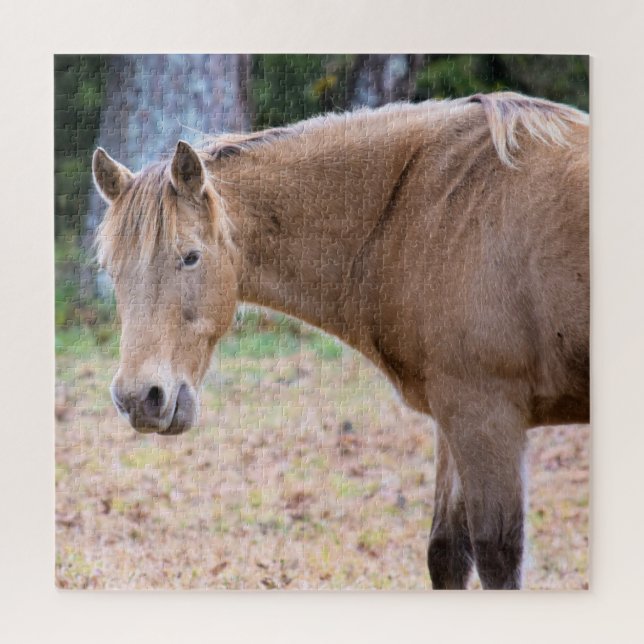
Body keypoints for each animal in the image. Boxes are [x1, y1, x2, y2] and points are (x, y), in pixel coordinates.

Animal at [92, 92, 589, 590]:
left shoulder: (486, 417)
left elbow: (495, 556)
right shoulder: (453, 418)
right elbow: (447, 554)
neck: (430, 209)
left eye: (191, 257)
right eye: (110, 270)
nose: (140, 398)